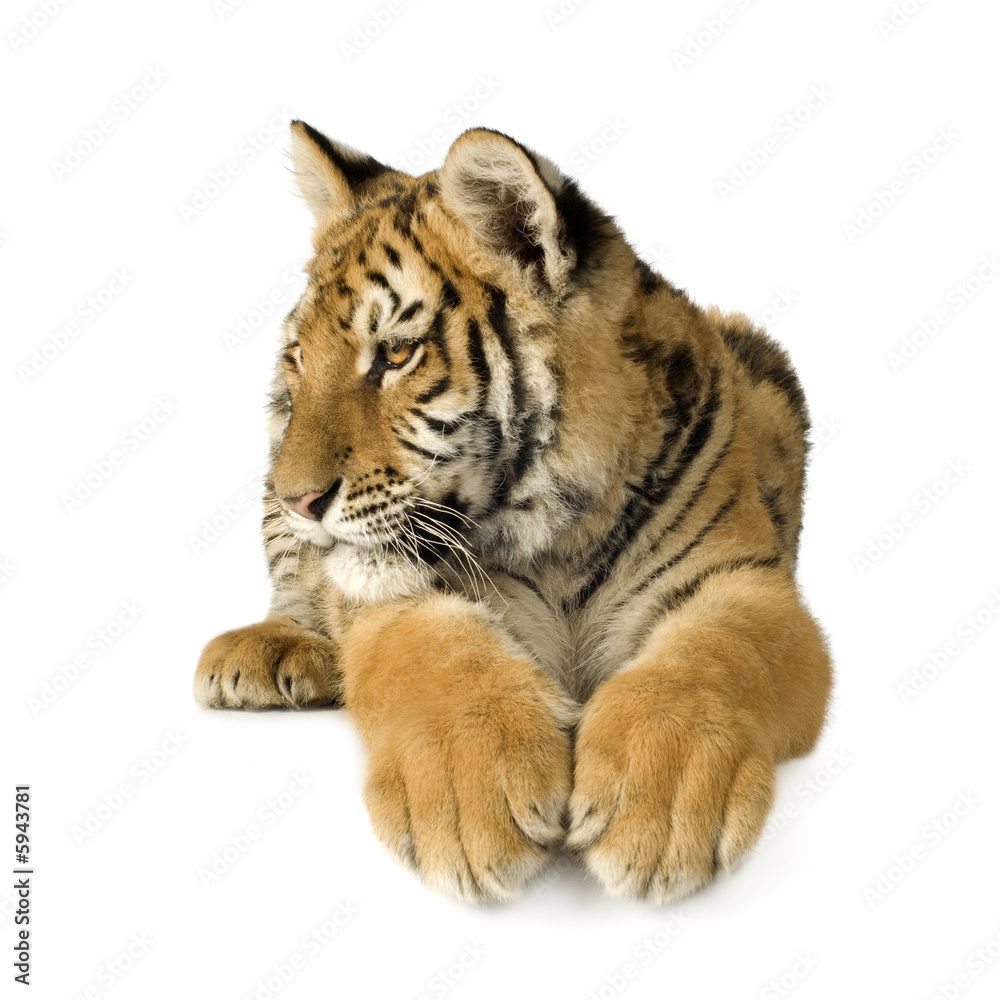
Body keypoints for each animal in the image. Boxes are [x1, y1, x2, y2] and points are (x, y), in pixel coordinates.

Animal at [194, 121, 832, 904]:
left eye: (396, 354)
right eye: (297, 360)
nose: (296, 499)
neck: (564, 534)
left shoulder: (749, 582)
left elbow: (713, 654)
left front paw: (660, 802)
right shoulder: (398, 598)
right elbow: (435, 658)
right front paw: (471, 798)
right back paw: (268, 654)